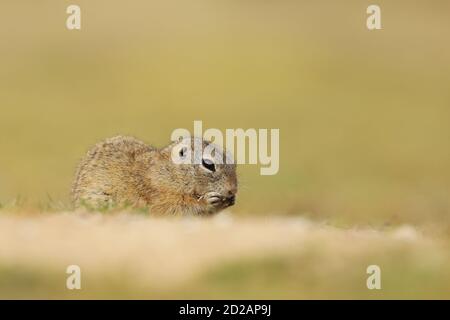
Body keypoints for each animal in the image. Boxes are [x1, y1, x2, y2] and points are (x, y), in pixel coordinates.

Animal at [71, 136, 236, 215]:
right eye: (208, 164)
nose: (232, 190)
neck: (171, 173)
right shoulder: (158, 194)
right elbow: (179, 206)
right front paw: (209, 200)